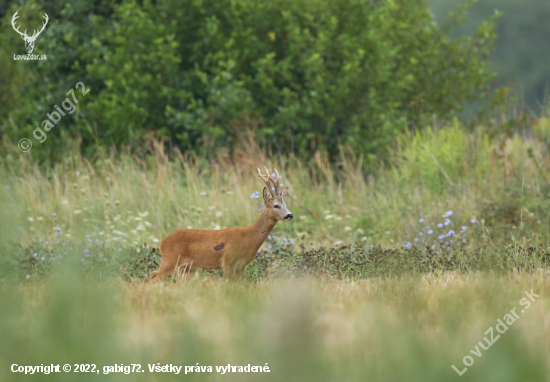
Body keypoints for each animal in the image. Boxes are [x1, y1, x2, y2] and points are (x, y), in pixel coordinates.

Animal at [147, 167, 294, 280]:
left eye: (285, 204)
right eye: (276, 205)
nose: (290, 215)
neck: (248, 238)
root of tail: (162, 242)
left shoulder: (242, 265)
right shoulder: (227, 261)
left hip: (187, 268)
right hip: (170, 260)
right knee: (152, 277)